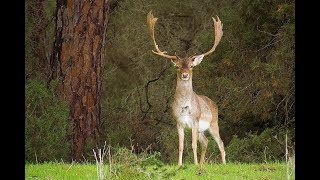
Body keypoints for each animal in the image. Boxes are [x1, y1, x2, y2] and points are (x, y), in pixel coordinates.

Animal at [147, 11, 225, 165]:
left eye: (191, 66)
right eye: (177, 66)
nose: (184, 75)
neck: (184, 106)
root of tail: (214, 103)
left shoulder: (195, 120)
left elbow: (193, 145)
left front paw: (194, 164)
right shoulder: (178, 122)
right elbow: (181, 145)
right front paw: (179, 165)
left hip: (213, 123)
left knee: (221, 143)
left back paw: (222, 164)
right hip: (202, 129)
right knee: (205, 142)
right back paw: (202, 163)